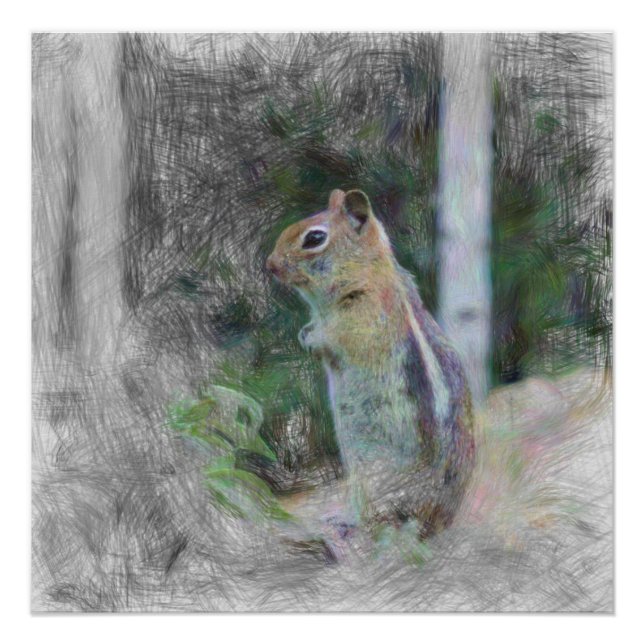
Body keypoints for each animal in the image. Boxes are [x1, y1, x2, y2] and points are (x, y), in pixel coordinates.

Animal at [267, 189, 475, 539]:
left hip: (371, 474)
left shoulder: (365, 316)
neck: (368, 269)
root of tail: (436, 520)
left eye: (314, 238)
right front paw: (305, 333)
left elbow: (341, 337)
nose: (270, 265)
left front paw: (314, 338)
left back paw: (348, 522)